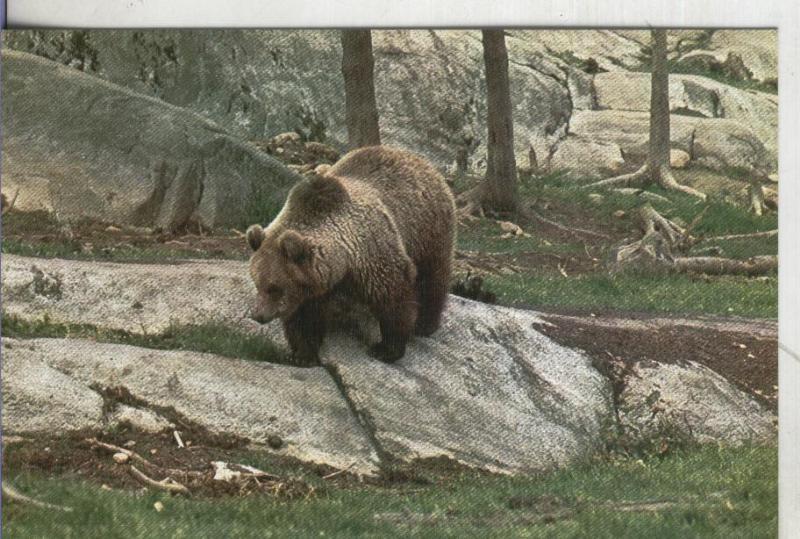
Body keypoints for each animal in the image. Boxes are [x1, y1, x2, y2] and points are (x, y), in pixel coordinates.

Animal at [246, 145, 456, 365]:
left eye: (274, 287)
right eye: (257, 283)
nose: (258, 315)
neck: (343, 261)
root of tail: (415, 156)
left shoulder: (372, 253)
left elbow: (393, 297)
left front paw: (386, 348)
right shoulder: (312, 283)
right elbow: (304, 317)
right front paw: (302, 354)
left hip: (427, 229)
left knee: (432, 277)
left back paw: (425, 324)